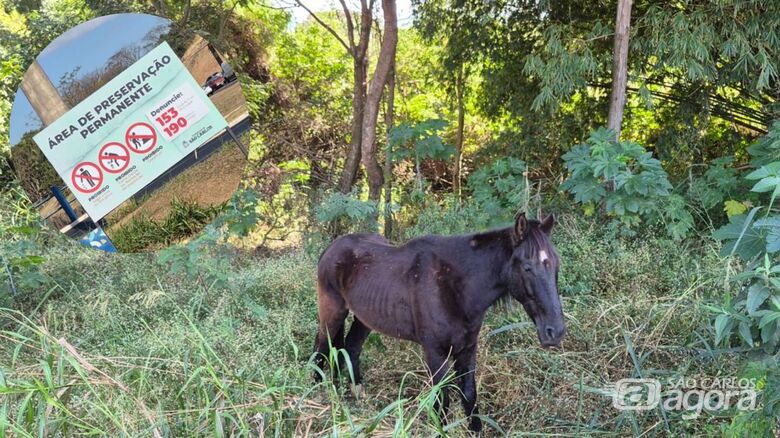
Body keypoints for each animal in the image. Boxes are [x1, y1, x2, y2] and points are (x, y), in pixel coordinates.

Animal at [313, 212, 565, 432]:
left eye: (555, 265)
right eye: (527, 267)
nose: (555, 331)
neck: (455, 286)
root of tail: (331, 248)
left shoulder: (467, 349)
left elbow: (469, 395)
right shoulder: (435, 352)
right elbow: (441, 400)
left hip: (364, 318)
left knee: (351, 348)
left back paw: (355, 396)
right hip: (333, 312)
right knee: (322, 347)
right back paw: (318, 394)